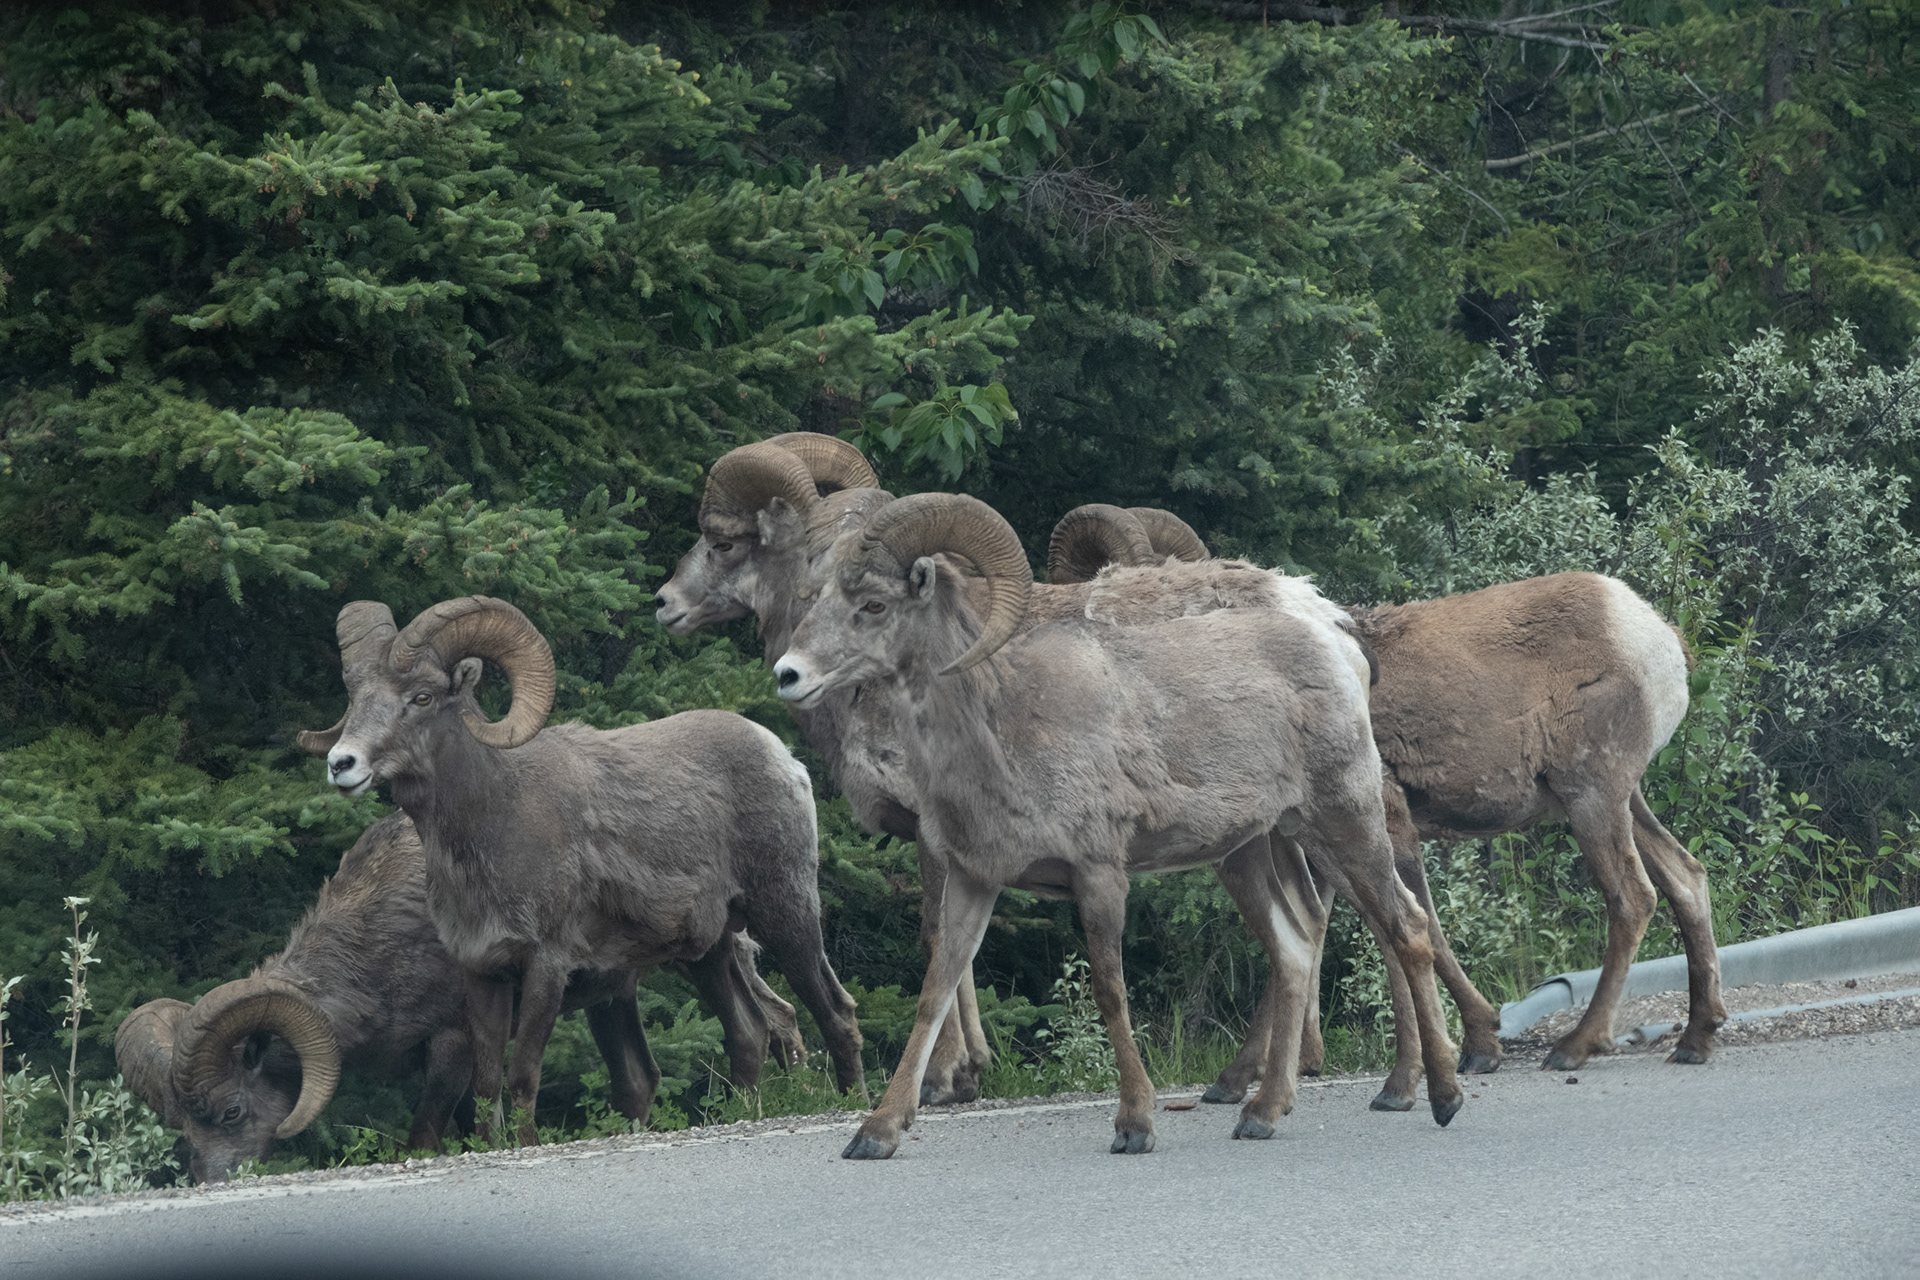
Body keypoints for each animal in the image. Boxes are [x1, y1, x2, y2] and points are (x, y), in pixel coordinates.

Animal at [298, 596, 866, 1144]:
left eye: (422, 697)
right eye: (356, 696)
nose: (341, 764)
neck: (494, 821)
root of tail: (782, 756)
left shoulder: (546, 967)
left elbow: (523, 1076)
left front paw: (525, 1144)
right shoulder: (483, 974)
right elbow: (486, 1085)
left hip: (785, 913)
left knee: (835, 1013)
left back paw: (851, 1104)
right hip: (709, 951)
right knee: (748, 1034)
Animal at [773, 492, 1463, 1157]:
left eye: (874, 604)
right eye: (824, 596)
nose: (788, 674)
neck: (1002, 734)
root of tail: (1341, 645)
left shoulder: (1100, 875)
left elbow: (1110, 990)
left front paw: (1134, 1126)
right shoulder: (974, 881)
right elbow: (934, 992)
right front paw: (876, 1133)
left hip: (1342, 820)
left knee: (1407, 928)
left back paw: (1438, 1096)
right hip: (1249, 855)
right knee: (1295, 946)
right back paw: (1261, 1115)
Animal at [1052, 505, 1724, 1096]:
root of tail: (1655, 634)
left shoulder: (1378, 826)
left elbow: (1398, 929)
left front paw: (1453, 1059)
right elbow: (1313, 937)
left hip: (1593, 798)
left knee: (1633, 898)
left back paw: (1574, 1048)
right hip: (1621, 801)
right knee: (1686, 877)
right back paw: (1696, 1039)